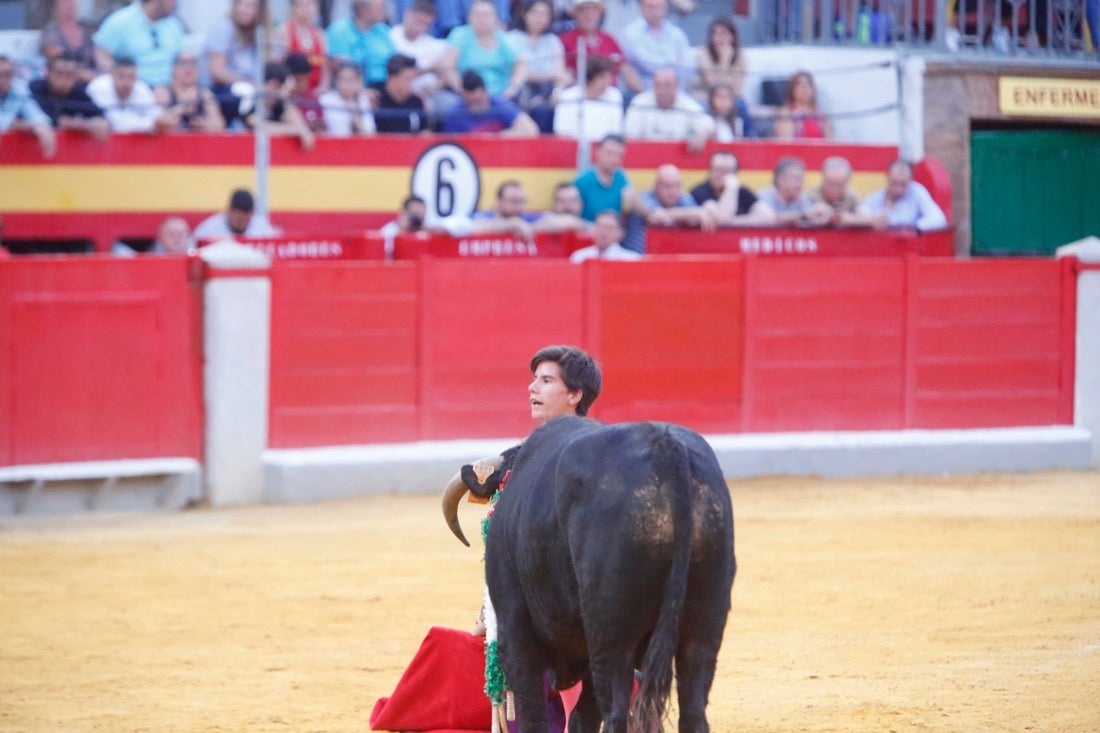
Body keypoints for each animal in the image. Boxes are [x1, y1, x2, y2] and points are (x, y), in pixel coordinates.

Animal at [442, 416, 734, 730]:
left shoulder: (515, 629)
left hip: (611, 631)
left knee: (616, 713)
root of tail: (666, 450)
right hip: (704, 625)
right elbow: (583, 715)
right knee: (693, 712)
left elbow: (534, 713)